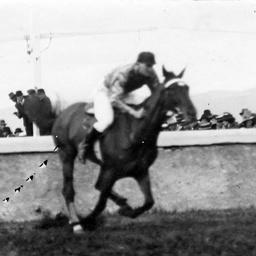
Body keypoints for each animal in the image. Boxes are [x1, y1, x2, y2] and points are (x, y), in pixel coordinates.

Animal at [51, 66, 196, 234]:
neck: (136, 133)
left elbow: (149, 202)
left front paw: (127, 210)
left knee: (97, 185)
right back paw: (76, 223)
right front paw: (87, 221)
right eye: (171, 90)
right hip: (66, 153)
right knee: (68, 189)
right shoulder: (111, 170)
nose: (192, 113)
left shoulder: (140, 171)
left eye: (187, 88)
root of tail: (63, 113)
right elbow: (101, 203)